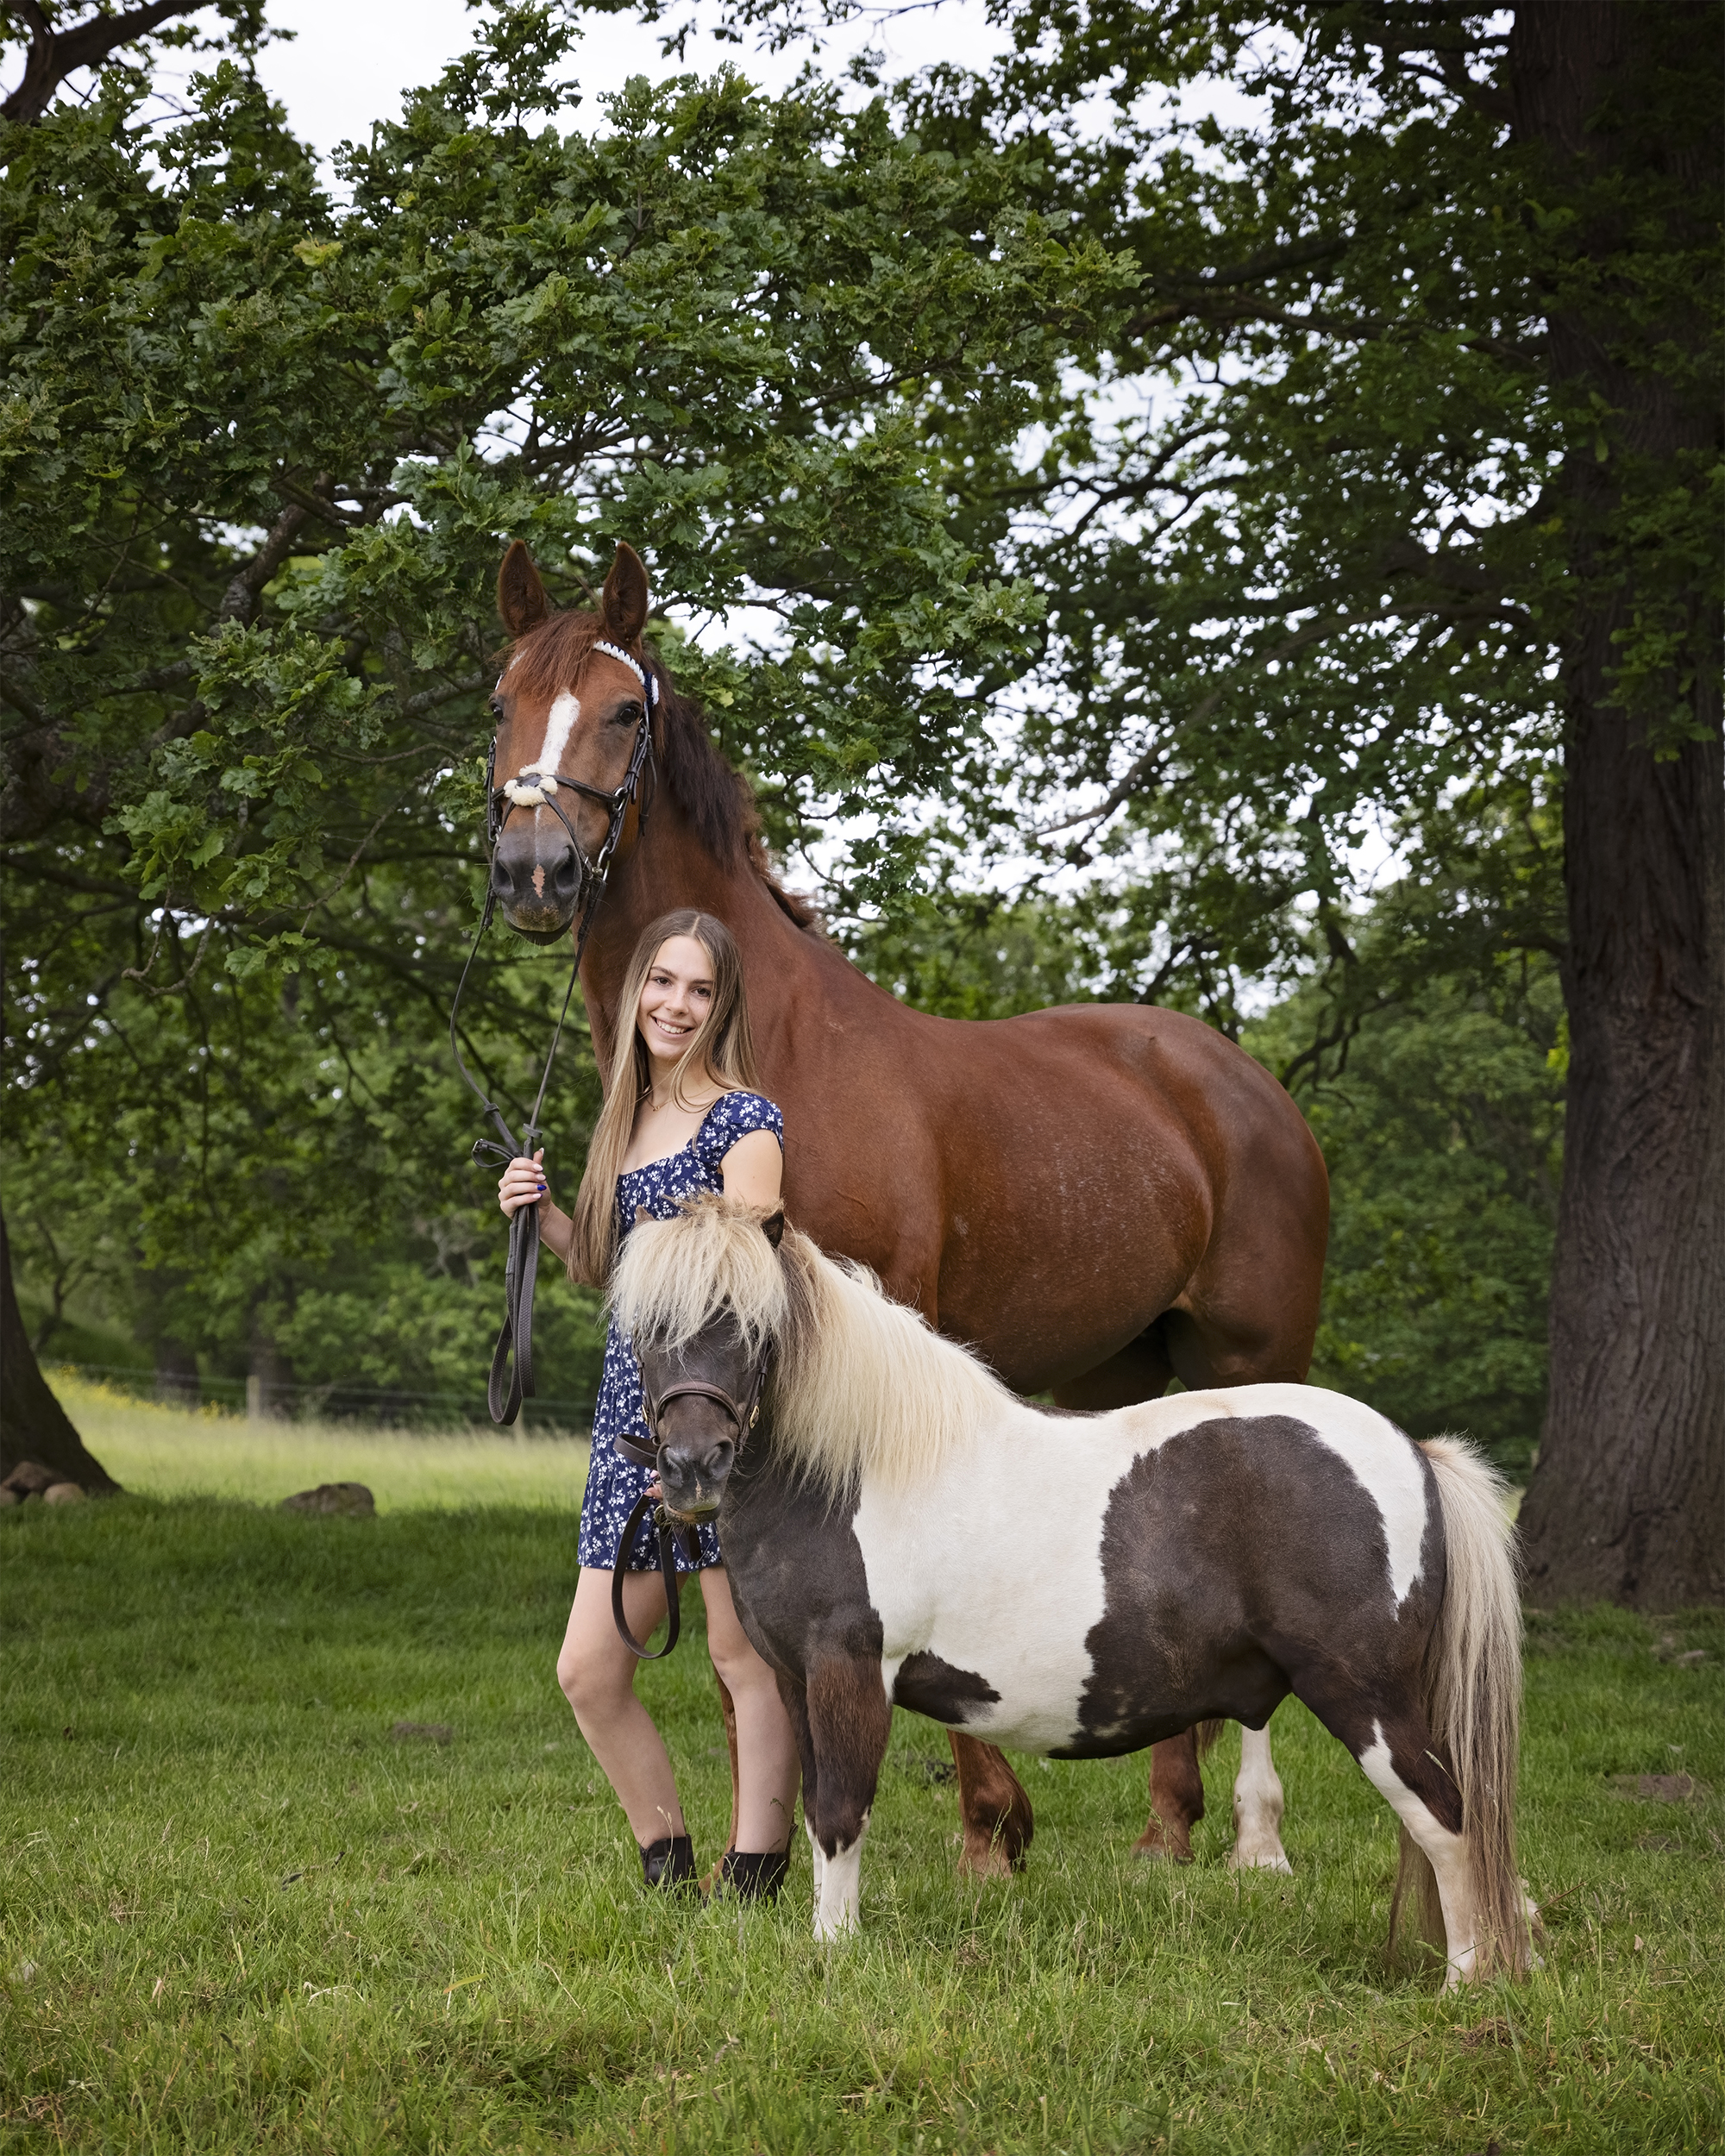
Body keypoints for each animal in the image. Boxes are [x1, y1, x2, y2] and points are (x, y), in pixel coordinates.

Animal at [482, 537, 1331, 1878]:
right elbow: (746, 1655)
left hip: (1253, 1356)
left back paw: (1231, 1837)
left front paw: (989, 1832)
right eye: (500, 697)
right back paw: (1166, 1829)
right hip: (1122, 1371)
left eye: (620, 709)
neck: (769, 1049)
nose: (533, 870)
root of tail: (1244, 1083)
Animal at [614, 1195, 1534, 1985]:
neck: (852, 1469)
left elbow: (842, 1812)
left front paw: (835, 1955)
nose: (692, 1467)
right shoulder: (798, 1683)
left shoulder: (849, 1674)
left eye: (748, 1323)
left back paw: (1466, 1986)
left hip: (1365, 1698)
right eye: (647, 1329)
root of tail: (1412, 1451)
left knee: (1447, 1821)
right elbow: (816, 1814)